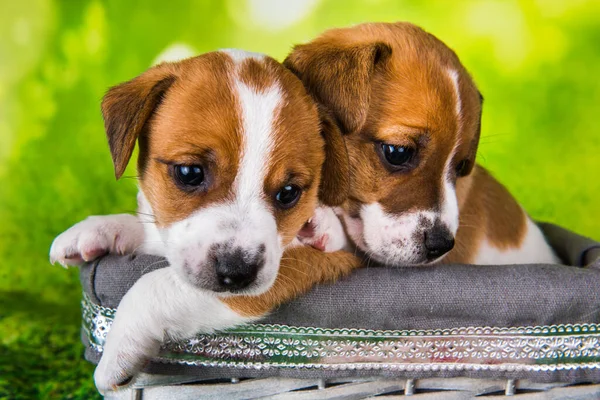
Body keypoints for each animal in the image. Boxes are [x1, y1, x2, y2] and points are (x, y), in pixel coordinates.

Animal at [49, 49, 358, 390]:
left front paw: (117, 350)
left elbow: (155, 285)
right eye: (189, 172)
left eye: (288, 192)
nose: (236, 272)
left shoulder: (315, 263)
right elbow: (148, 227)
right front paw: (99, 229)